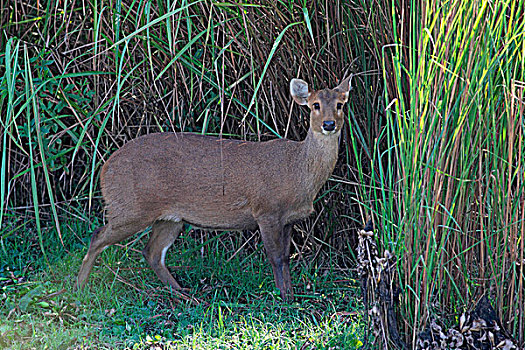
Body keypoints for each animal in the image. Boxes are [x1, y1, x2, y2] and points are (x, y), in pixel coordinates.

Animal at [74, 76, 352, 300]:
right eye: (315, 105)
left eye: (340, 104)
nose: (329, 124)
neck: (297, 172)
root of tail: (104, 169)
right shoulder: (266, 210)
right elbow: (274, 257)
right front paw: (283, 299)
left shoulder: (289, 219)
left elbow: (285, 257)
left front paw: (291, 296)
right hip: (131, 207)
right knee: (98, 236)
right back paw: (79, 289)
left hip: (170, 218)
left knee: (152, 252)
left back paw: (184, 293)